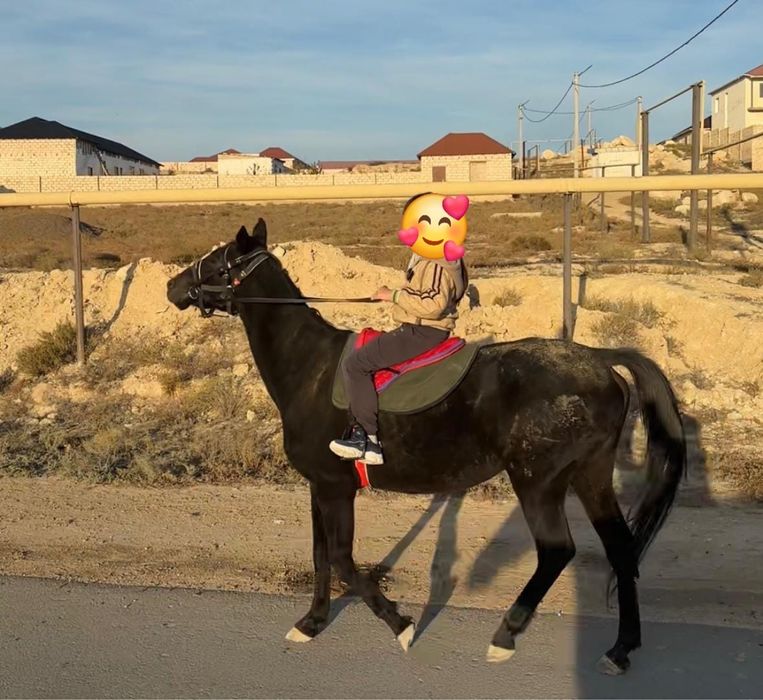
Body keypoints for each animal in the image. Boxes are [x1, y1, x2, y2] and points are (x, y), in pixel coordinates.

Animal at [166, 218, 686, 675]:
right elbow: (320, 556)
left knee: (558, 551)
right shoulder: (318, 486)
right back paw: (620, 649)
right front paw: (312, 624)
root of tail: (599, 360)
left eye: (218, 260)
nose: (173, 286)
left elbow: (343, 560)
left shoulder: (336, 487)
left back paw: (507, 634)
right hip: (590, 476)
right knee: (622, 549)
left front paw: (400, 624)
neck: (309, 367)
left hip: (539, 482)